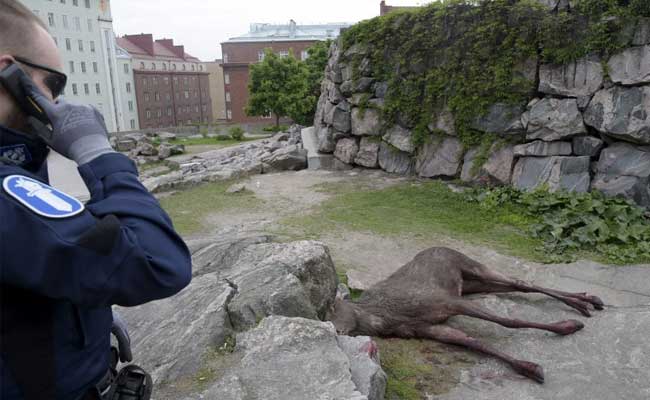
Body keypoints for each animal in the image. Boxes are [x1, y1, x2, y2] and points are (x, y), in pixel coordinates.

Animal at [324, 247, 604, 382]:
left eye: (333, 310)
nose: (336, 331)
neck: (386, 318)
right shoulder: (427, 328)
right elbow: (473, 342)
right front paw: (529, 367)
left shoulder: (447, 301)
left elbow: (506, 321)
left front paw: (566, 327)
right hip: (472, 284)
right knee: (517, 285)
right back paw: (586, 299)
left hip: (471, 266)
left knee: (520, 281)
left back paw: (583, 305)